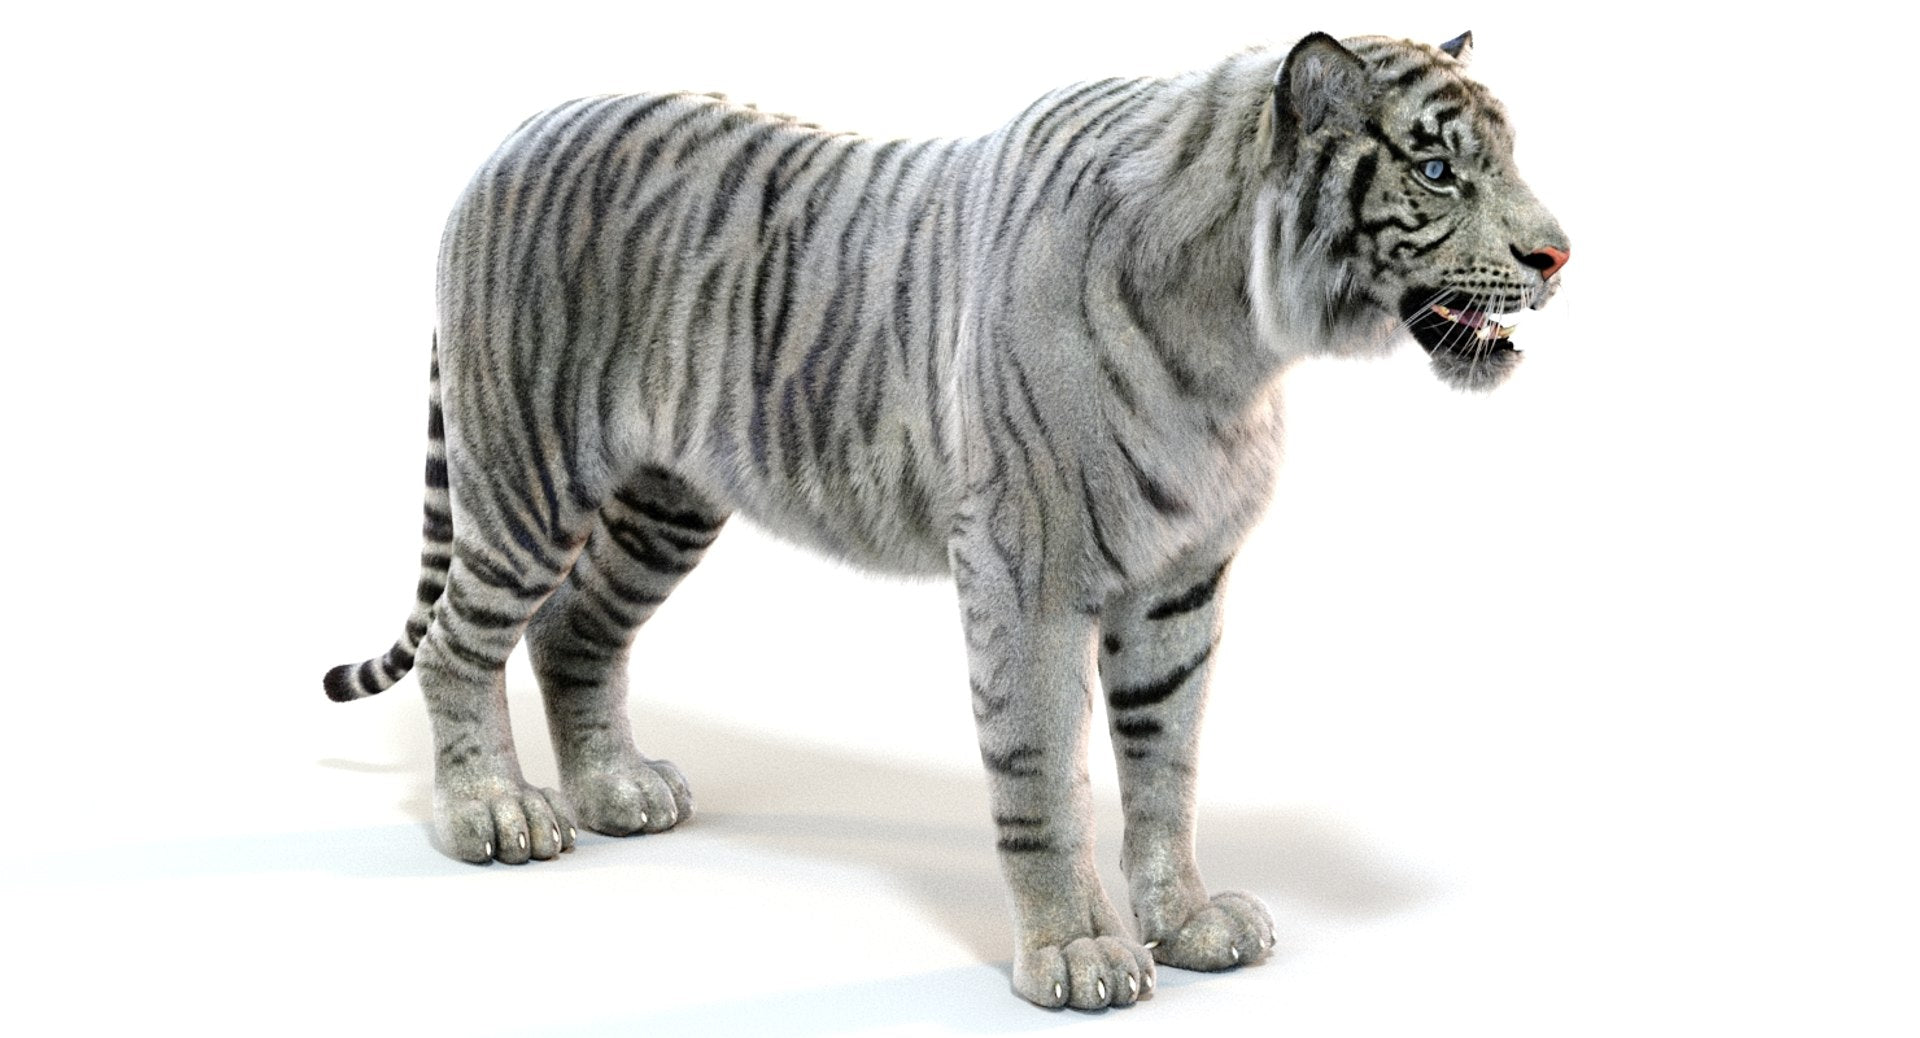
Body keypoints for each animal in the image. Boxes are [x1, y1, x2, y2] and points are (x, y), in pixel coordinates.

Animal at [324, 29, 1568, 1009]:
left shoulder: (1182, 584)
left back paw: (618, 794)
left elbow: (1167, 766)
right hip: (526, 476)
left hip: (663, 503)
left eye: (1504, 159)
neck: (1242, 339)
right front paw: (1077, 956)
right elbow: (1043, 776)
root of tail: (518, 131)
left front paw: (1185, 925)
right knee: (460, 644)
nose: (1559, 253)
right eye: (1439, 168)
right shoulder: (1029, 572)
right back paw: (494, 815)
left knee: (573, 631)